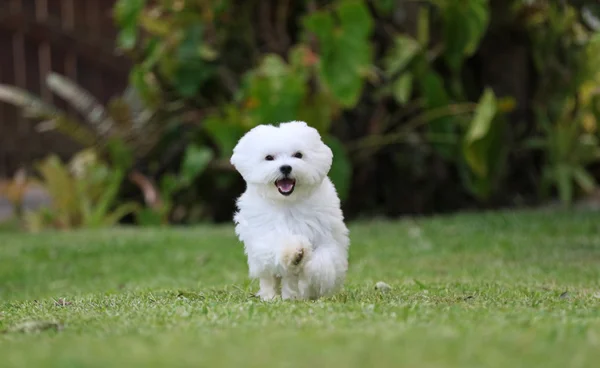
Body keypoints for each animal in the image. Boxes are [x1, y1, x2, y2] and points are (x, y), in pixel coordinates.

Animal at [231, 119, 352, 300]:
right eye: (269, 157)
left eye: (298, 155)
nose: (286, 167)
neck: (288, 202)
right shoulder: (264, 233)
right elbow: (277, 243)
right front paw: (295, 253)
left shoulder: (326, 234)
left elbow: (323, 259)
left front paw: (310, 269)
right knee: (270, 278)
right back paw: (271, 296)